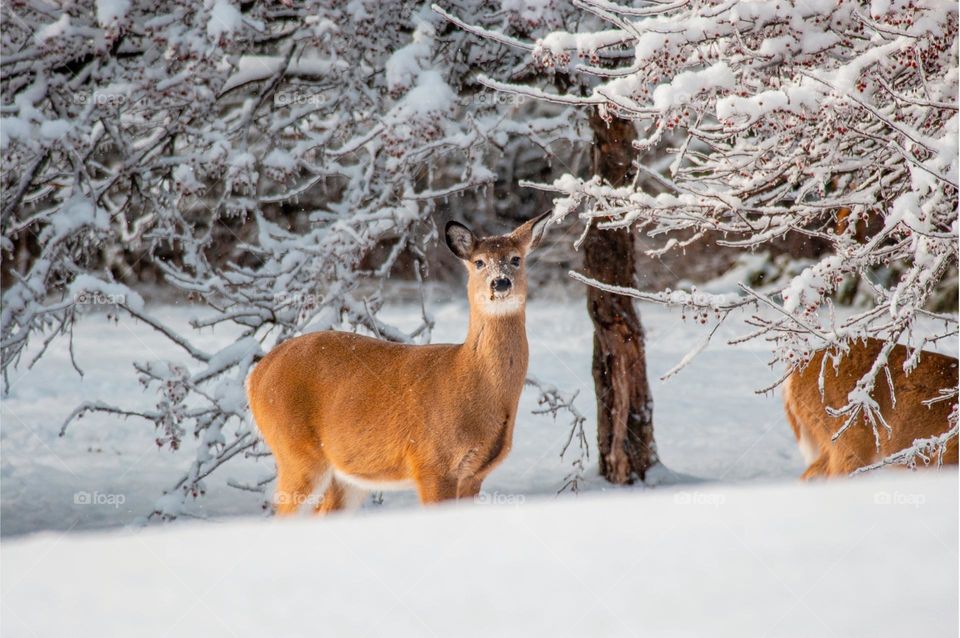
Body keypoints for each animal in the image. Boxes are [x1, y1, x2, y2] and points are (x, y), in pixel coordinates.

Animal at [246, 213, 552, 515]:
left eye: (516, 259)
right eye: (479, 262)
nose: (500, 283)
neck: (468, 376)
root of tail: (256, 375)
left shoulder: (474, 475)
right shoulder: (431, 463)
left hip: (346, 474)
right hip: (296, 452)